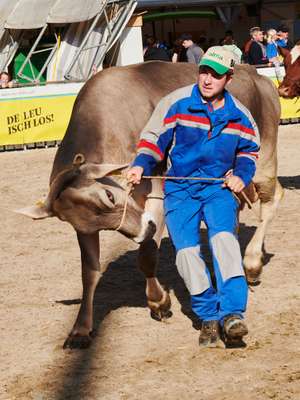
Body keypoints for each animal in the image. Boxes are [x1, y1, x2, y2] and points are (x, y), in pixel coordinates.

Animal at [18, 61, 284, 346]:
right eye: (87, 223)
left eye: (109, 196)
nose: (146, 228)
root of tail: (255, 74)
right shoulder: (85, 229)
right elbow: (89, 271)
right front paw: (80, 329)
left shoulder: (157, 191)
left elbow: (147, 255)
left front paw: (160, 302)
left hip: (264, 161)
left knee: (274, 198)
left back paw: (252, 264)